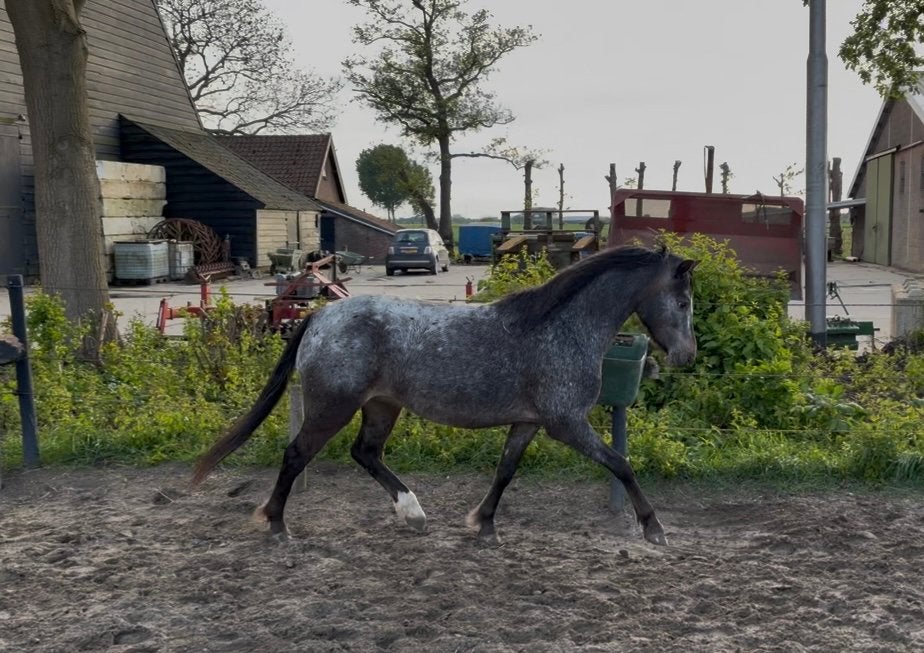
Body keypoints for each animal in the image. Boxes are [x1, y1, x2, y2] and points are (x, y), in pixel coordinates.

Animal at [192, 245, 698, 546]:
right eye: (683, 301)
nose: (686, 355)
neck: (562, 327)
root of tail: (318, 317)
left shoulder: (529, 422)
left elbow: (505, 470)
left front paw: (484, 524)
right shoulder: (566, 423)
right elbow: (621, 463)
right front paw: (654, 528)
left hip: (381, 406)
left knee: (365, 453)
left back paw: (413, 513)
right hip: (331, 408)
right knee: (297, 454)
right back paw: (277, 524)